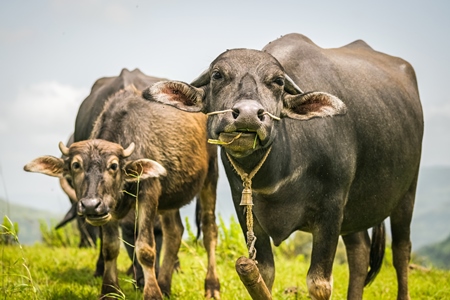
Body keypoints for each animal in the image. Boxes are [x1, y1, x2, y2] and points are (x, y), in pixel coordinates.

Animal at [142, 33, 424, 300]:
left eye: (277, 81)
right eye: (217, 75)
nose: (248, 114)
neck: (280, 175)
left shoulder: (331, 209)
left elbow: (319, 284)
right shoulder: (245, 209)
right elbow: (264, 274)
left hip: (407, 192)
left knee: (401, 251)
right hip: (353, 211)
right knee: (360, 252)